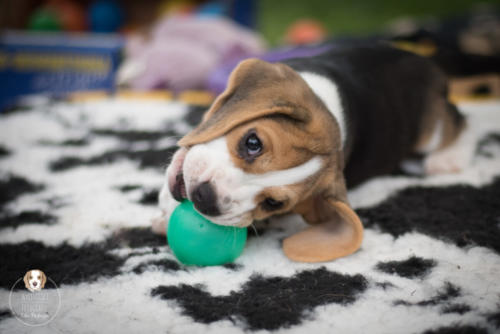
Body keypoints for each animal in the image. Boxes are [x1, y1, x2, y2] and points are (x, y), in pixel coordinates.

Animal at [152, 44, 472, 264]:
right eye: (252, 142)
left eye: (273, 203)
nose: (205, 199)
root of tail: (427, 61)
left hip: (430, 128)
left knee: (460, 120)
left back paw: (449, 159)